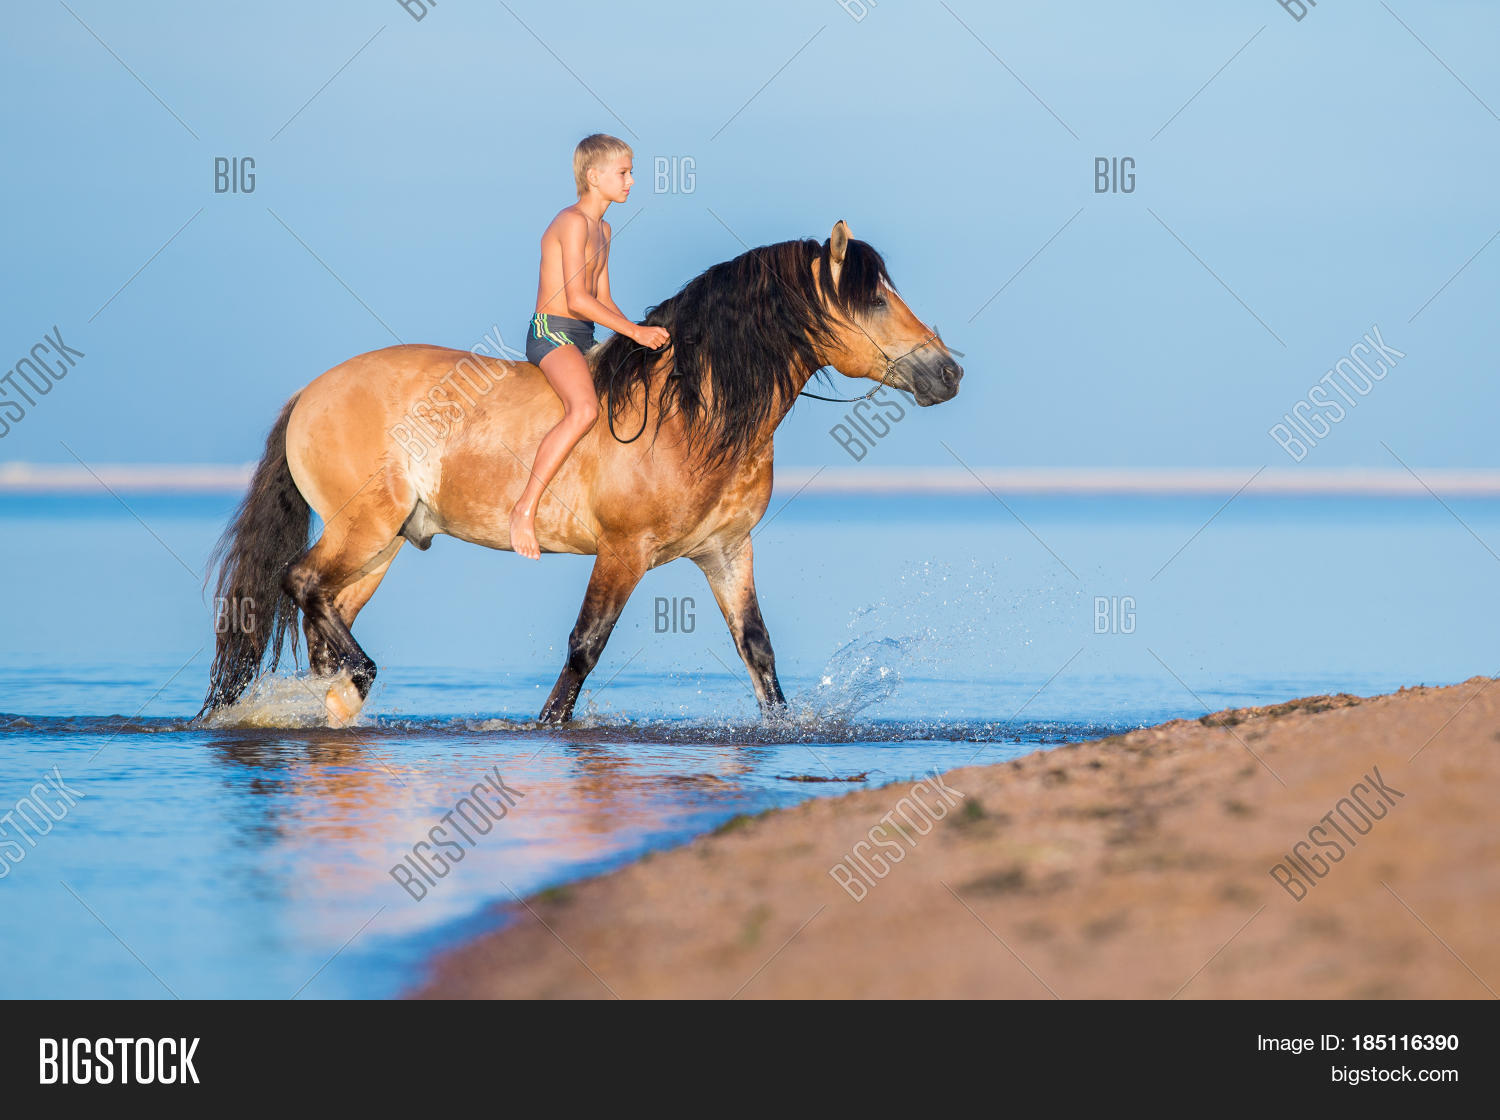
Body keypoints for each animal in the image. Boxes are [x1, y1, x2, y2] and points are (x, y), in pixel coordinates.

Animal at [199, 220, 963, 726]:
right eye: (872, 299)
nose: (948, 371)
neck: (692, 410)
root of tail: (311, 393)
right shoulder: (624, 553)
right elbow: (584, 648)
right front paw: (547, 727)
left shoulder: (726, 552)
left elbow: (758, 651)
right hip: (364, 530)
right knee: (300, 583)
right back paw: (357, 679)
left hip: (381, 548)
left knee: (321, 612)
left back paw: (337, 698)